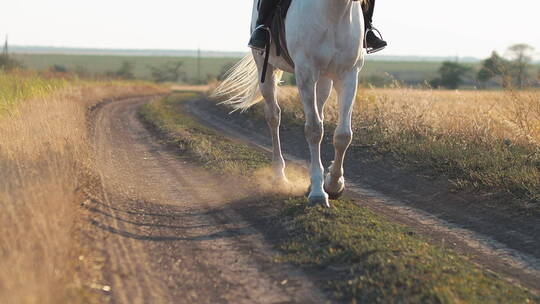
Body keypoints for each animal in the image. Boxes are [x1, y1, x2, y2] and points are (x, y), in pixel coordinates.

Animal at [213, 0, 364, 208]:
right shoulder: (305, 73)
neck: (335, 10)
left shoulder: (349, 74)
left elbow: (343, 135)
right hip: (265, 66)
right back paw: (279, 176)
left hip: (324, 78)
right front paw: (318, 193)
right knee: (273, 116)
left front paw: (334, 185)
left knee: (320, 112)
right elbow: (314, 130)